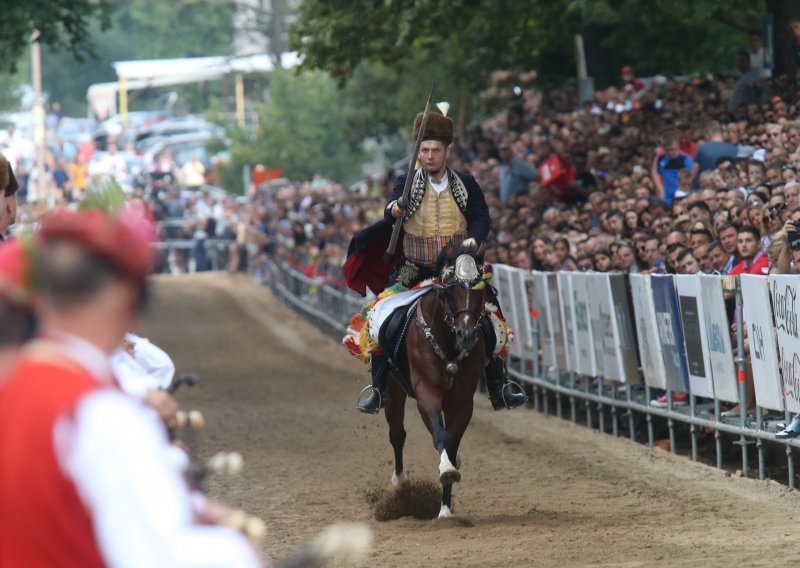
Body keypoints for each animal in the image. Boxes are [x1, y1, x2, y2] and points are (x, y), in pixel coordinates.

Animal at [382, 246, 488, 516]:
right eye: (450, 289)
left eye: (481, 291)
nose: (466, 335)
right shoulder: (426, 391)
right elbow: (441, 436)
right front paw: (447, 470)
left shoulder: (462, 400)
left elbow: (451, 444)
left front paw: (446, 508)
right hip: (393, 388)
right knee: (397, 433)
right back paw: (400, 481)